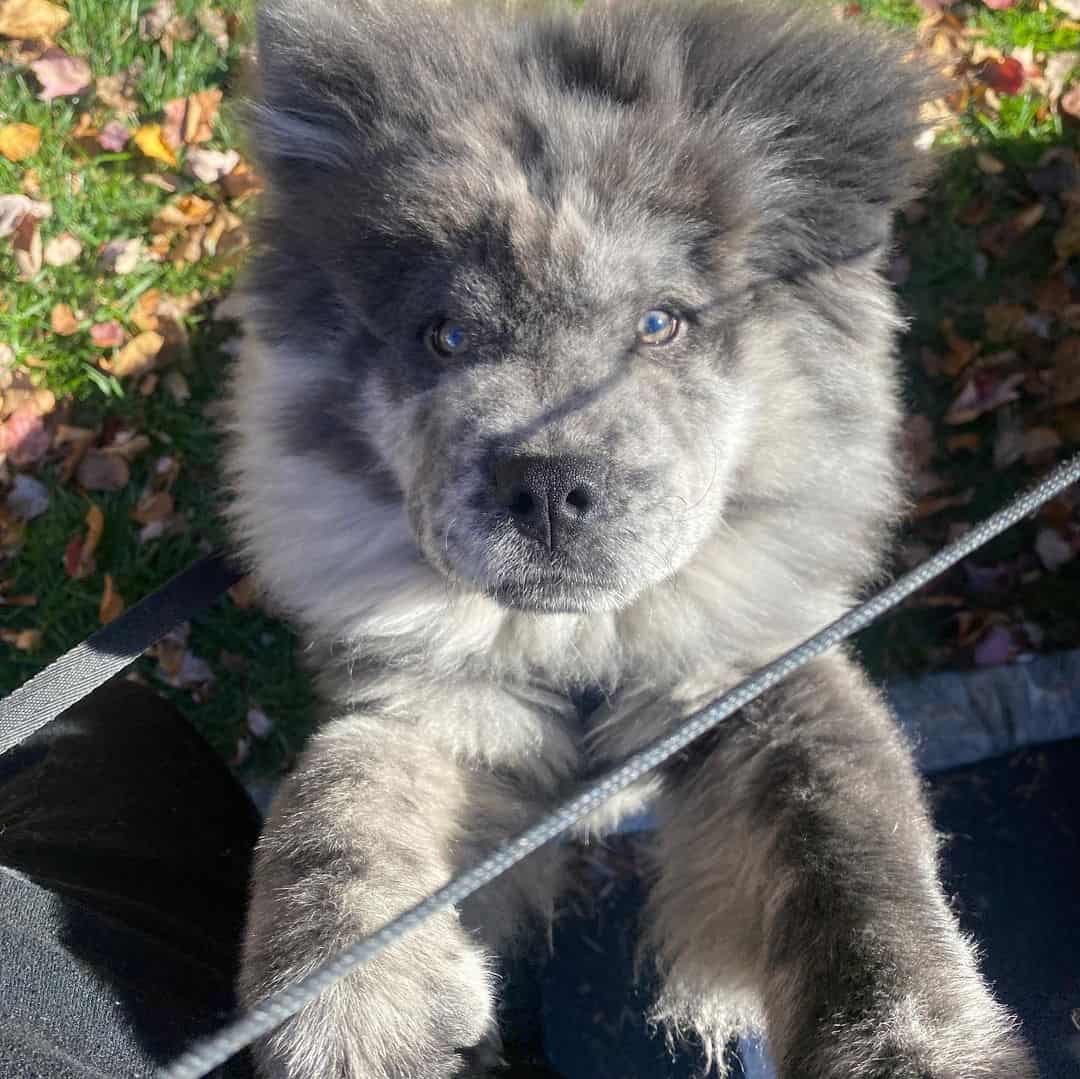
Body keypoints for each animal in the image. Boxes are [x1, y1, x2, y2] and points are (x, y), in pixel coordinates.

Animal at [225, 2, 1028, 1079]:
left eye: (660, 324)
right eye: (445, 337)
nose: (546, 486)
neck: (587, 648)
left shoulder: (751, 681)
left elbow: (852, 855)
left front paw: (917, 1044)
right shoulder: (442, 703)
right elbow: (341, 816)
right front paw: (357, 1019)